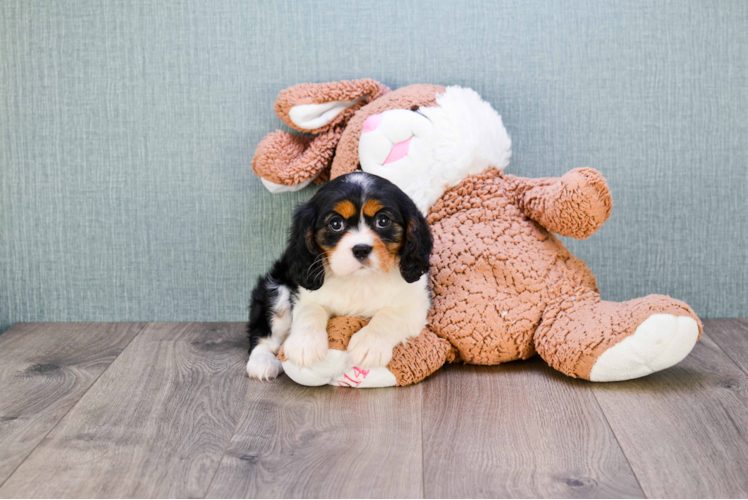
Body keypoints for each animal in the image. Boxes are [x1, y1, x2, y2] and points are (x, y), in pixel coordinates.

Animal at [247, 171, 432, 378]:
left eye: (383, 221)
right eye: (336, 224)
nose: (361, 249)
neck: (359, 279)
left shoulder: (416, 305)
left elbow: (390, 315)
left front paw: (370, 344)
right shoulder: (305, 294)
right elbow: (311, 310)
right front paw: (305, 343)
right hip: (276, 291)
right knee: (263, 334)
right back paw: (262, 362)